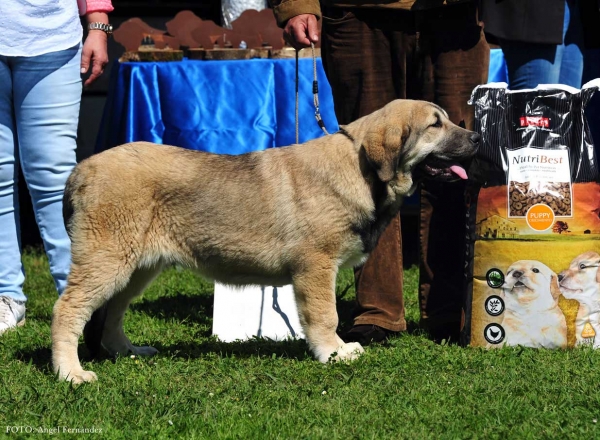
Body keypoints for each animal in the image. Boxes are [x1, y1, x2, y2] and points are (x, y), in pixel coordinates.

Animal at [54, 99, 480, 382]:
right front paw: (333, 352)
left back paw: (127, 352)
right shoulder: (316, 267)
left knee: (112, 312)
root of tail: (81, 169)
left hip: (136, 267)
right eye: (435, 125)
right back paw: (70, 372)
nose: (477, 137)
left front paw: (338, 348)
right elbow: (325, 315)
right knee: (68, 309)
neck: (362, 169)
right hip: (108, 259)